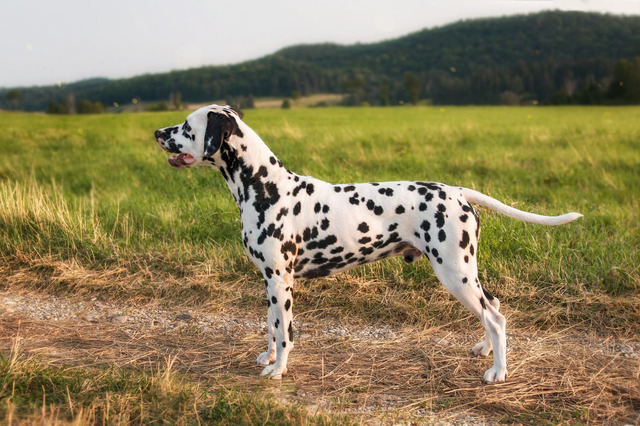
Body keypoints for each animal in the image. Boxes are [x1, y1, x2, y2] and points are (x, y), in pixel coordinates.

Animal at [155, 105, 584, 384]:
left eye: (186, 126)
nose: (157, 133)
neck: (266, 186)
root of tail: (459, 191)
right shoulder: (270, 281)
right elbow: (271, 326)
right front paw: (269, 356)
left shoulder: (280, 280)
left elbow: (285, 330)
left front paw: (278, 369)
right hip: (466, 272)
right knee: (494, 308)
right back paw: (486, 350)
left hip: (454, 273)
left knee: (494, 317)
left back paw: (497, 371)